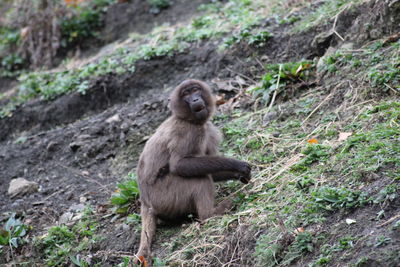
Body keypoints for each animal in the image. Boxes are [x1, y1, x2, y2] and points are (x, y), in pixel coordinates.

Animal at [136, 79, 252, 264]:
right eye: (186, 94)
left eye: (195, 90)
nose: (196, 99)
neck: (187, 119)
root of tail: (145, 202)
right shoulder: (189, 132)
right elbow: (180, 165)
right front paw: (236, 165)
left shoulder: (207, 129)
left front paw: (239, 174)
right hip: (164, 197)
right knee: (200, 179)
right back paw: (211, 214)